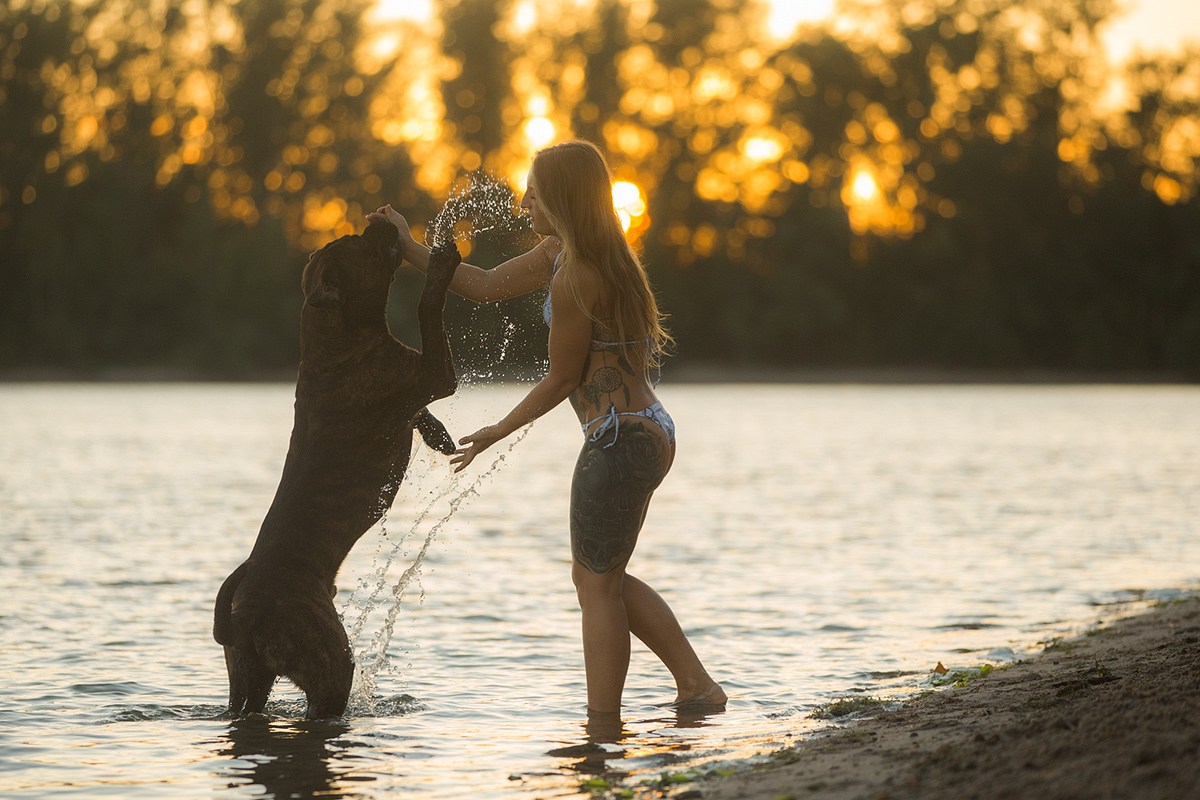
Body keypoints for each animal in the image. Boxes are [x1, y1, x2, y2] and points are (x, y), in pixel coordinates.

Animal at [213, 217, 460, 719]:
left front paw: (441, 437)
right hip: (328, 664)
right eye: (359, 245)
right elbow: (428, 306)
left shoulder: (417, 388)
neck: (334, 333)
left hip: (246, 679)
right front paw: (441, 266)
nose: (378, 221)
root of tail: (245, 615)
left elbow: (422, 416)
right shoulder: (431, 374)